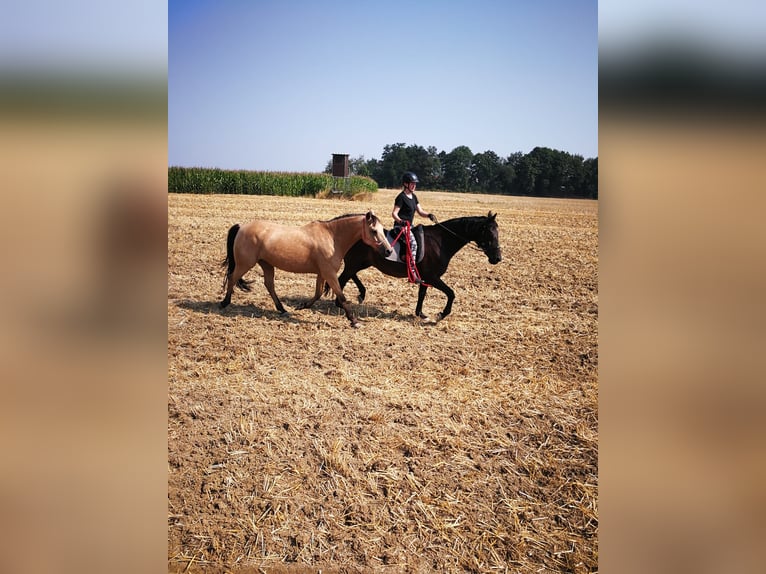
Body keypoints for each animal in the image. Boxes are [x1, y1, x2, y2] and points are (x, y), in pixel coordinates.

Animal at [220, 213, 390, 328]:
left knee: (269, 285)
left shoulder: (322, 274)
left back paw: (282, 309)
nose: (388, 251)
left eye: (382, 230)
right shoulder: (329, 274)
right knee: (232, 277)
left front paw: (301, 306)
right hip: (245, 264)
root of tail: (241, 227)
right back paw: (224, 303)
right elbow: (341, 297)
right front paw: (354, 321)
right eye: (374, 231)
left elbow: (318, 293)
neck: (332, 237)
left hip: (266, 264)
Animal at [326, 213, 500, 322]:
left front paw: (420, 313)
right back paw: (341, 302)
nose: (497, 258)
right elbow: (451, 293)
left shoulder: (425, 277)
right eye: (490, 234)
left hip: (361, 263)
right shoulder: (433, 277)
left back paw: (360, 294)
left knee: (350, 276)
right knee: (343, 278)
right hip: (355, 263)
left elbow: (422, 294)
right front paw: (441, 314)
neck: (440, 242)